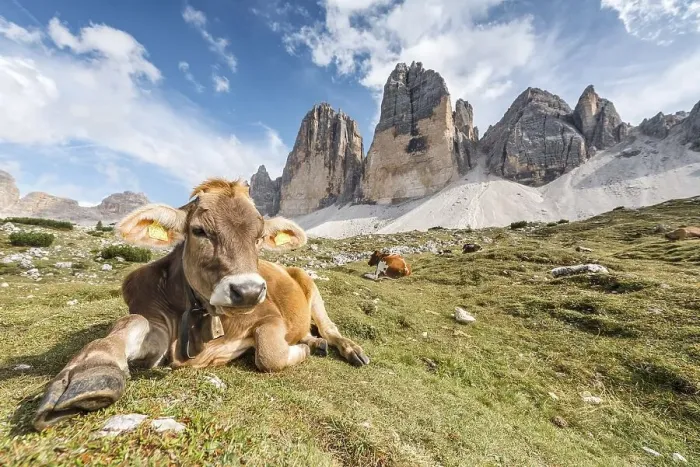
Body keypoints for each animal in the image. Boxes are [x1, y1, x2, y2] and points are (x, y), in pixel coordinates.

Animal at [33, 178, 369, 431]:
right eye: (199, 231)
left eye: (259, 237)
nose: (247, 291)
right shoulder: (155, 323)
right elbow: (132, 323)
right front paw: (92, 369)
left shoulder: (270, 315)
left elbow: (269, 355)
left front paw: (298, 351)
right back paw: (315, 343)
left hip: (311, 286)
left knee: (329, 327)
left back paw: (345, 348)